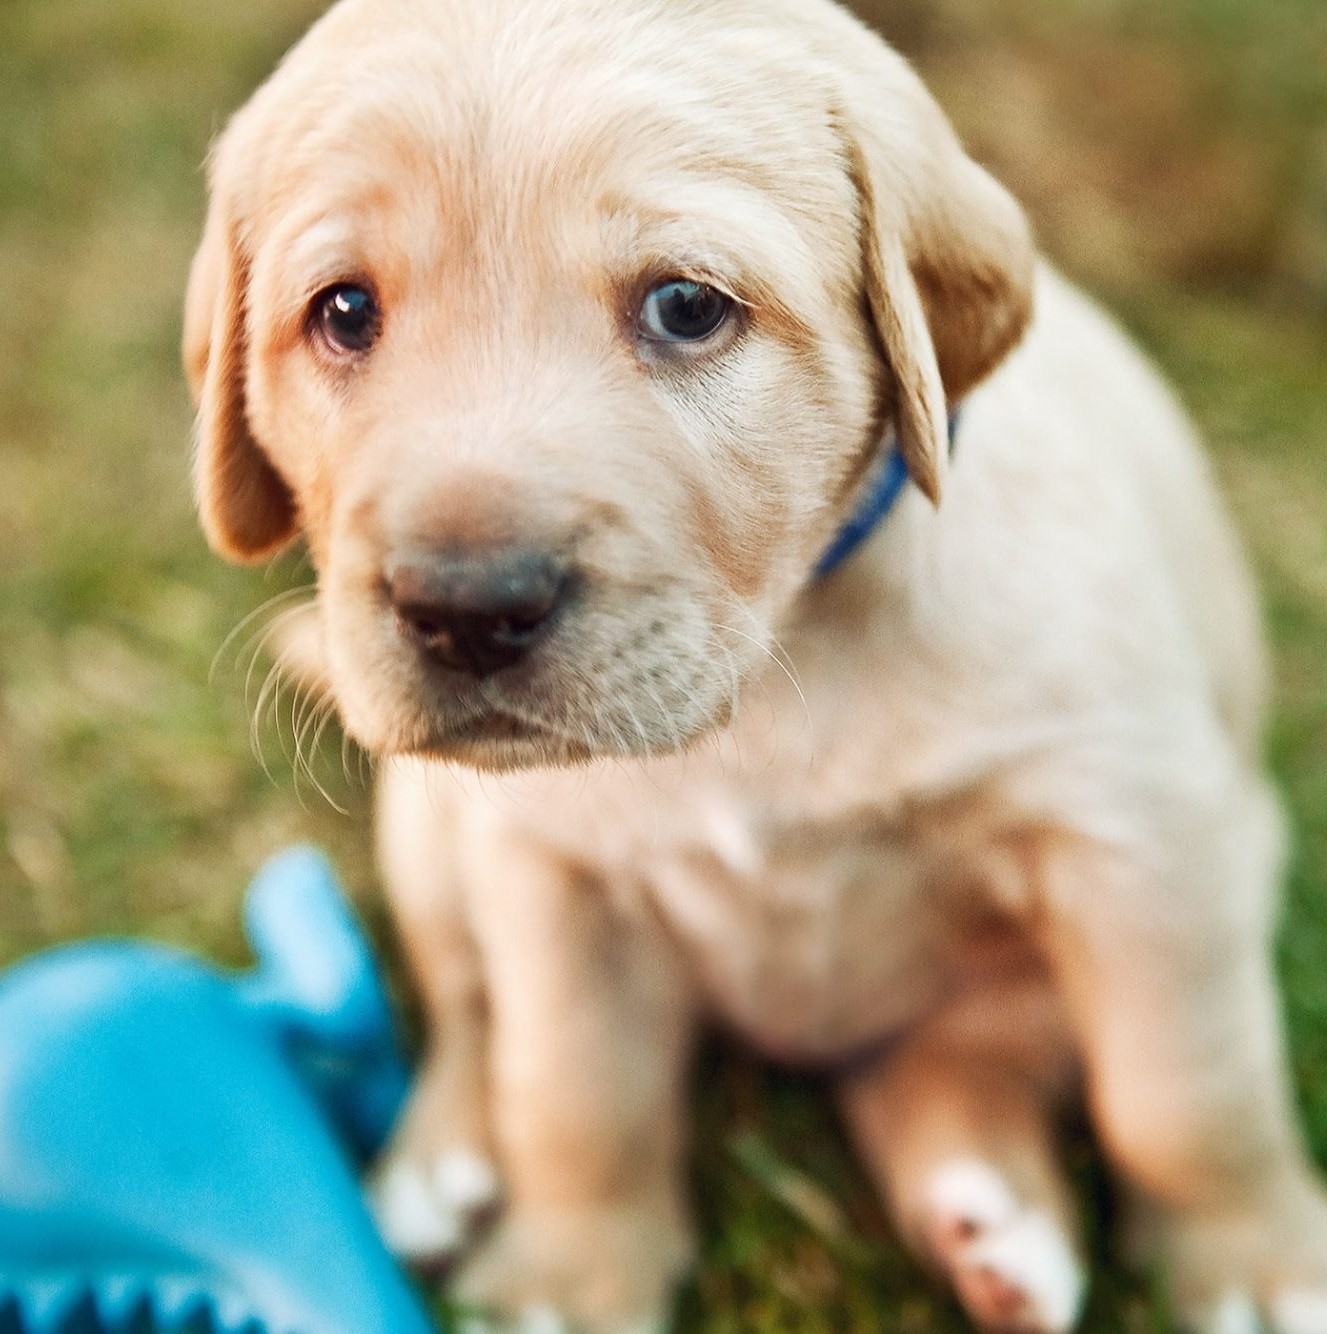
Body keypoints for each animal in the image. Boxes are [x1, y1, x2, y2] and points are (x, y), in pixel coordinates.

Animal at [184, 0, 1327, 1328]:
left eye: (685, 305)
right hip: (431, 824)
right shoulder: (551, 877)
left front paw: (1253, 1262)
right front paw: (567, 1276)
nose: (465, 607)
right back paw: (441, 1156)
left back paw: (990, 1219)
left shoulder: (1142, 837)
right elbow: (570, 1090)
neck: (779, 658)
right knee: (470, 1008)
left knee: (958, 1059)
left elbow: (1183, 1090)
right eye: (344, 313)